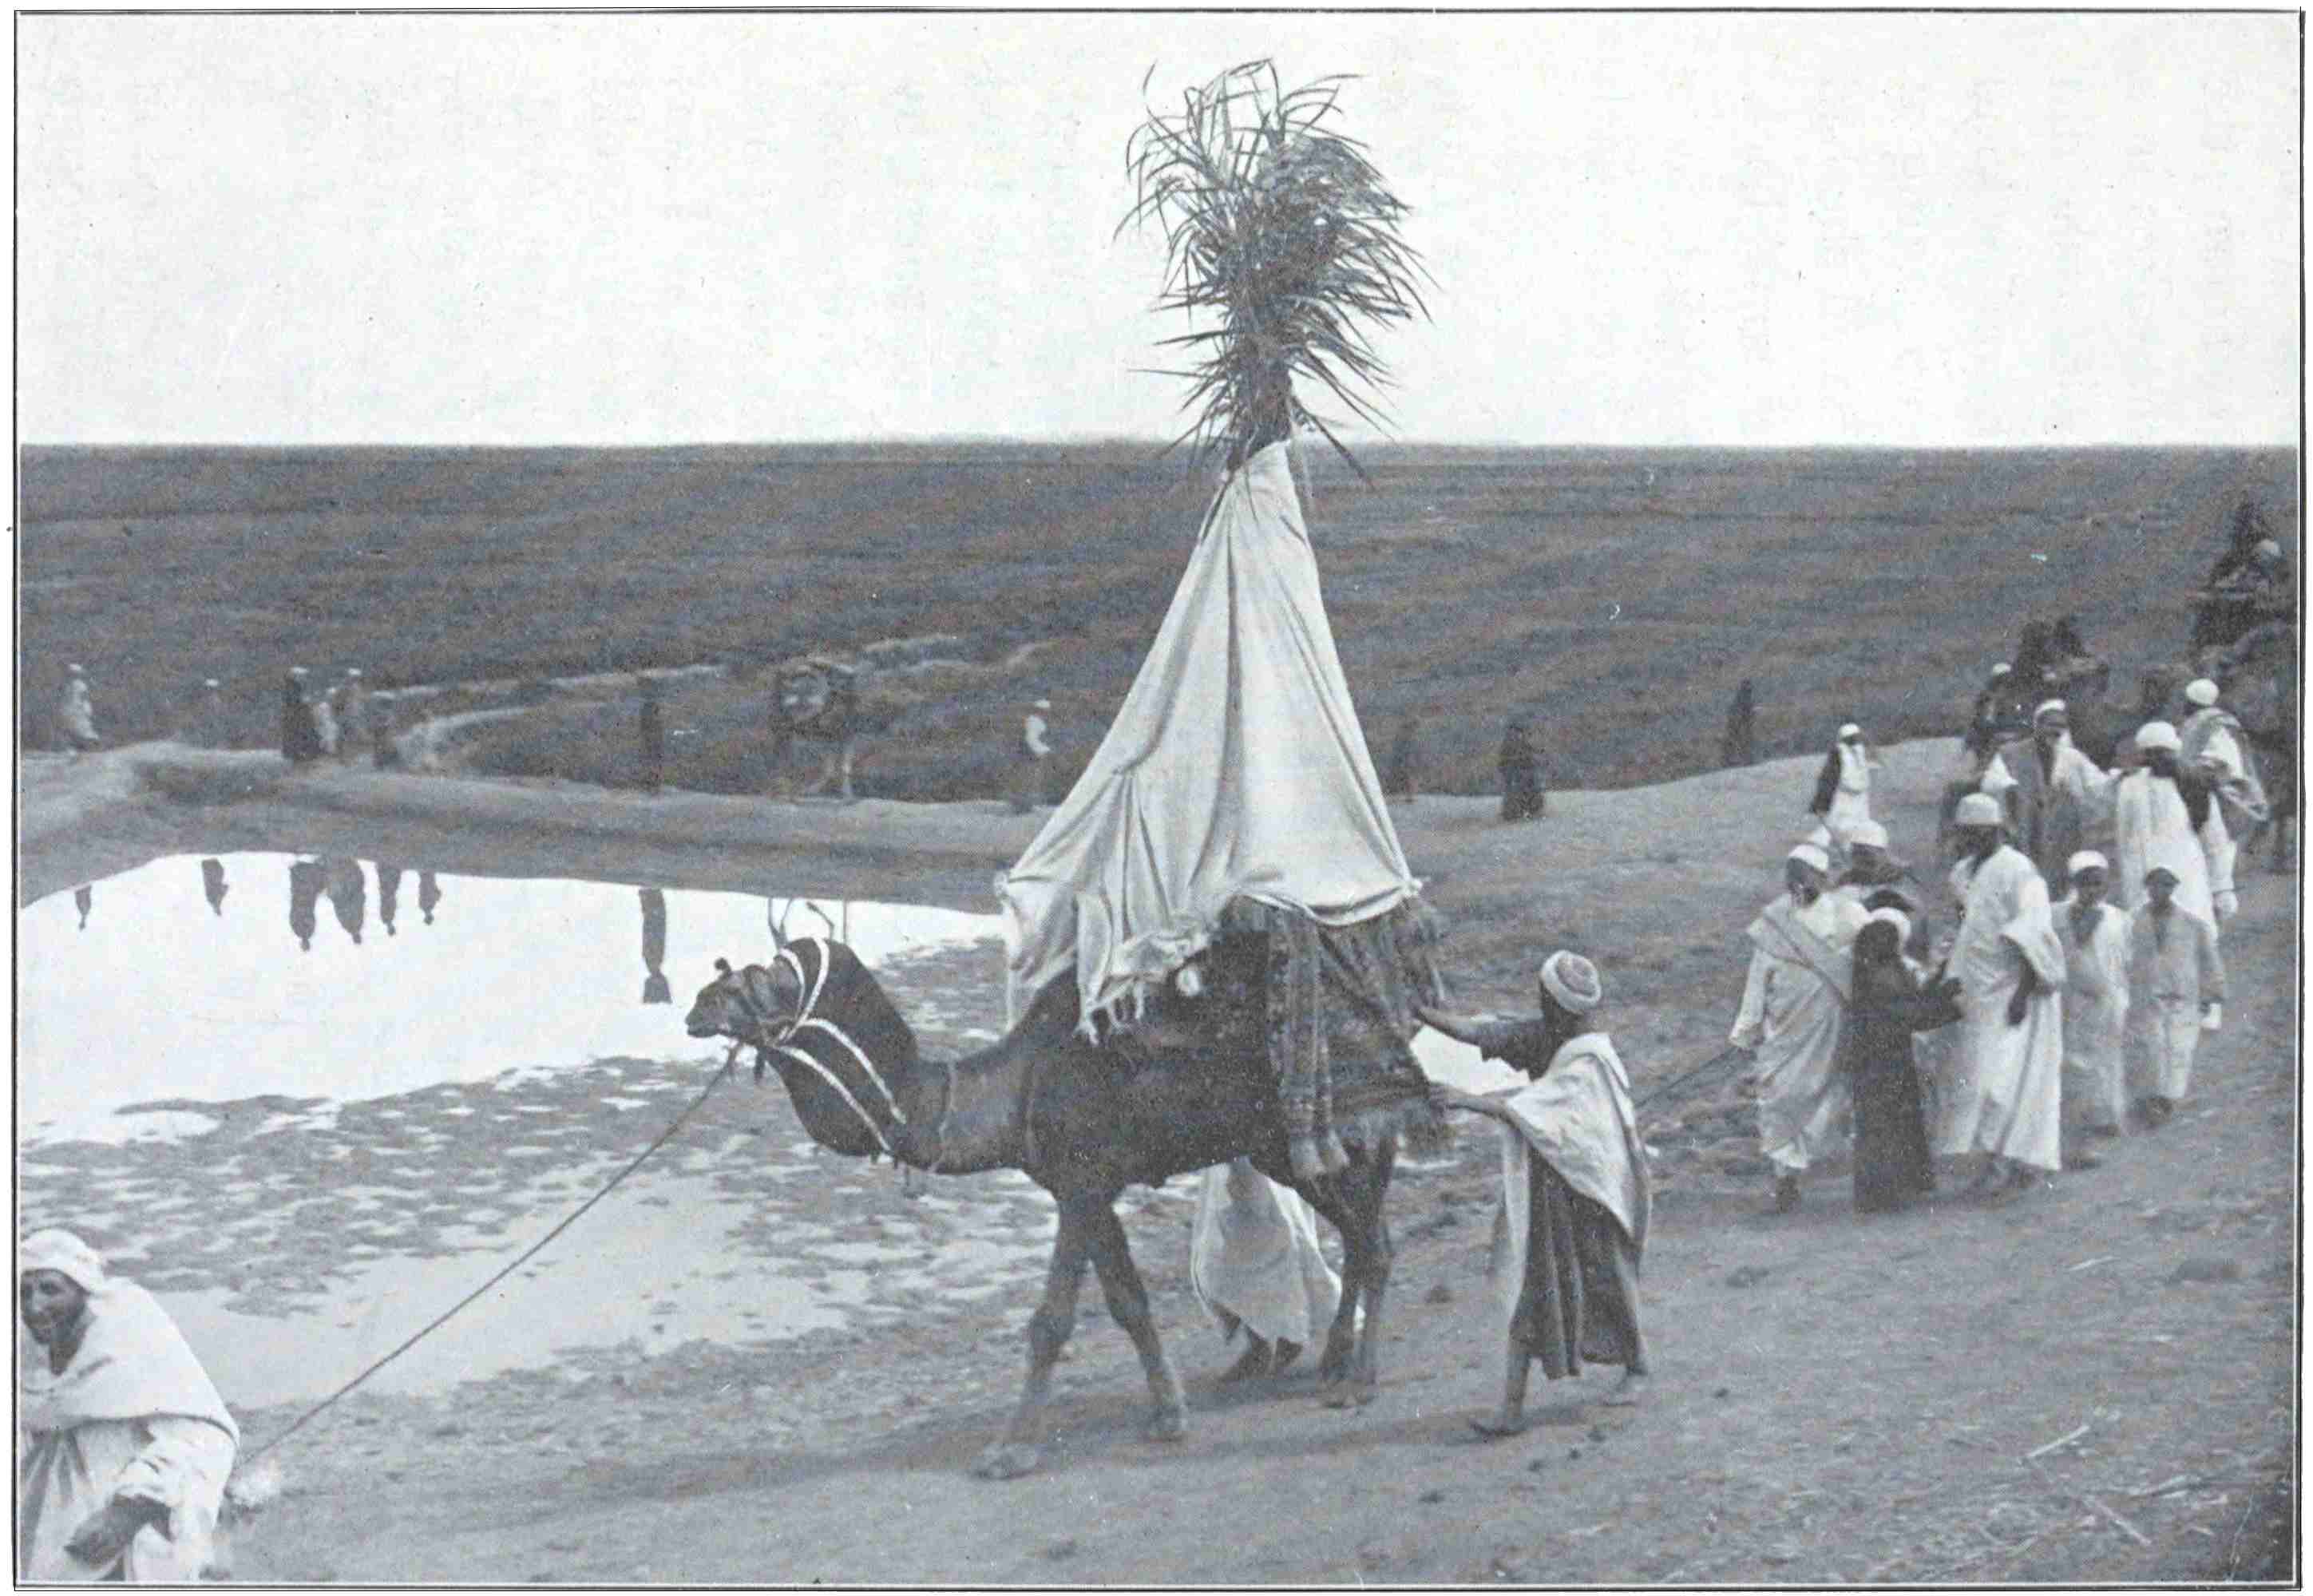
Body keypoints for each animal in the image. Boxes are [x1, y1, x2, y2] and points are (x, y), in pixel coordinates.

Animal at [685, 929, 1409, 1480]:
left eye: (770, 979)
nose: (697, 1005)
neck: (1013, 1087)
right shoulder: (1082, 1185)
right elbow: (1128, 1301)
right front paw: (1168, 1414)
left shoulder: (1083, 1182)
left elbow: (1052, 1319)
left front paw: (1011, 1450)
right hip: (1280, 1146)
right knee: (1361, 1229)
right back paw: (1334, 1361)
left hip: (1320, 1127)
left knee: (1372, 1235)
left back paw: (1359, 1379)